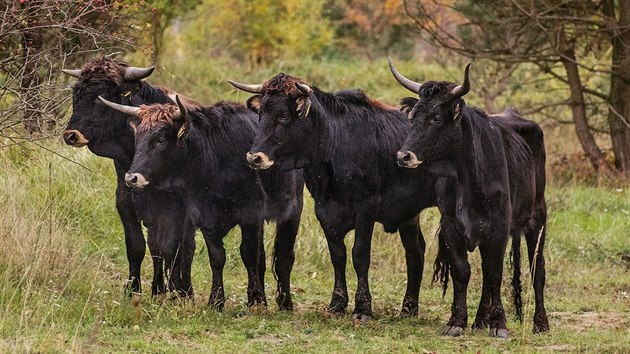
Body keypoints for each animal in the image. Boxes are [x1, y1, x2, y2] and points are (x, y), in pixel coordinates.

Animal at [62, 58, 198, 298]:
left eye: (100, 96)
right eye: (76, 92)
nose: (71, 135)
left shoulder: (171, 208)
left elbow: (170, 248)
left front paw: (171, 290)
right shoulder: (125, 202)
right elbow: (137, 246)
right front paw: (133, 289)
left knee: (186, 248)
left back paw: (184, 290)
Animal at [97, 94, 304, 310]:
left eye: (160, 139)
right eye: (138, 139)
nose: (132, 178)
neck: (215, 158)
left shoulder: (251, 214)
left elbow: (249, 255)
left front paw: (255, 300)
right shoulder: (205, 216)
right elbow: (217, 257)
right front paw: (216, 300)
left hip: (292, 212)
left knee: (284, 257)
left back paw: (285, 303)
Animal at [228, 74, 440, 320]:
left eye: (283, 115)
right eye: (261, 113)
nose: (254, 158)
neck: (335, 143)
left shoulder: (366, 209)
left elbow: (359, 255)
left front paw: (363, 308)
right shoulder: (325, 211)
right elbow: (338, 255)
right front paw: (337, 303)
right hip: (408, 215)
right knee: (415, 252)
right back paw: (408, 308)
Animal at [392, 58, 552, 338]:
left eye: (436, 118)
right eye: (413, 116)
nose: (404, 156)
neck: (466, 176)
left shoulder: (498, 228)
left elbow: (494, 272)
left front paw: (499, 324)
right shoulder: (451, 226)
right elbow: (463, 271)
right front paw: (457, 321)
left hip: (538, 219)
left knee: (537, 269)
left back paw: (540, 323)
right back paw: (479, 320)